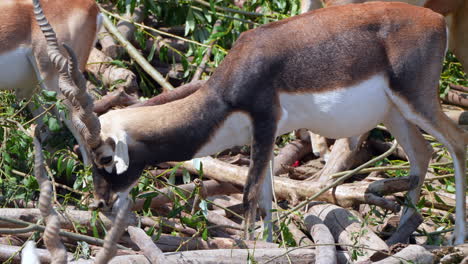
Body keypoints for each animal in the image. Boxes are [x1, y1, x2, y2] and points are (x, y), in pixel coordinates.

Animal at [37, 1, 468, 244]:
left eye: (105, 158)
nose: (100, 201)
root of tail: (435, 20)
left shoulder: (264, 121)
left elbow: (247, 195)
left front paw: (249, 248)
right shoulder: (269, 134)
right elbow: (265, 196)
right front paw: (272, 245)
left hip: (416, 99)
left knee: (457, 143)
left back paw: (457, 236)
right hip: (394, 112)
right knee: (422, 155)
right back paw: (402, 233)